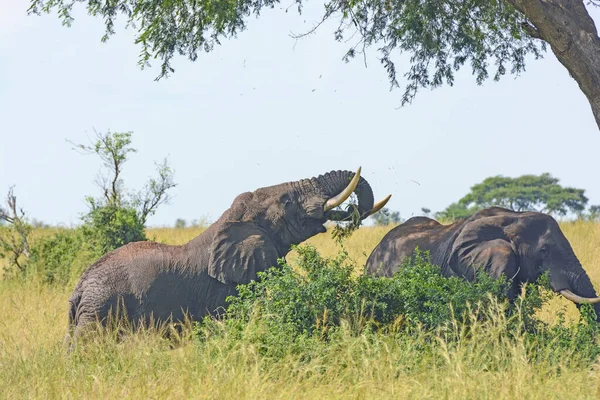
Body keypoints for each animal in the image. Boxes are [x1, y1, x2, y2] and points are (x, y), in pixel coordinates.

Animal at [68, 167, 392, 340]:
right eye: (287, 201)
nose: (353, 209)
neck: (234, 219)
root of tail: (80, 287)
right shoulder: (225, 291)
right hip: (102, 310)